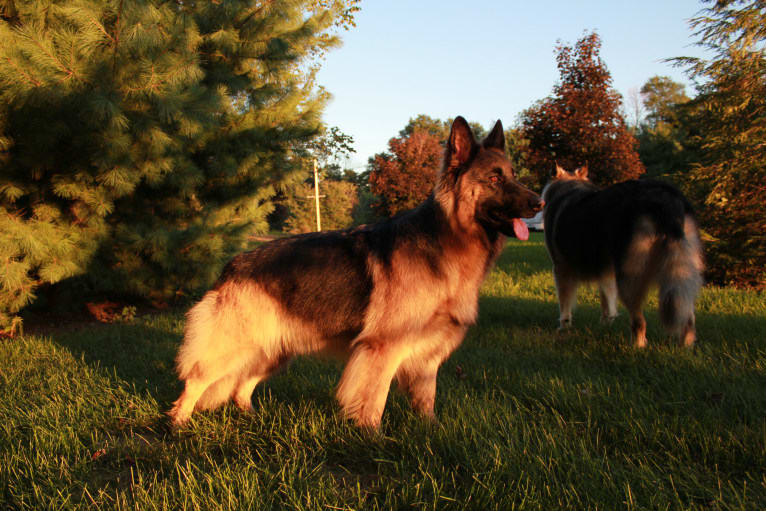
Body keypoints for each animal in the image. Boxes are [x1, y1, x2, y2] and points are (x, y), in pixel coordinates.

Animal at [170, 116, 544, 428]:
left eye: (514, 175)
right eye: (494, 178)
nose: (540, 202)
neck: (448, 238)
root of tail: (231, 266)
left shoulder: (427, 355)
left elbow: (426, 400)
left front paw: (432, 432)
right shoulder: (382, 348)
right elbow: (373, 400)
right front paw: (372, 437)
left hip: (273, 349)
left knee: (241, 387)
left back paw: (251, 417)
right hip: (236, 347)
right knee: (195, 382)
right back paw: (178, 426)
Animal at [544, 166, 704, 350]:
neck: (570, 186)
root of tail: (664, 198)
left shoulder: (561, 268)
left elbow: (564, 303)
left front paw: (563, 327)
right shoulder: (606, 271)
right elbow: (607, 301)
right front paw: (605, 324)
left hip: (629, 277)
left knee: (639, 322)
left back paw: (637, 346)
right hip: (682, 272)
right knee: (688, 318)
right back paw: (685, 346)